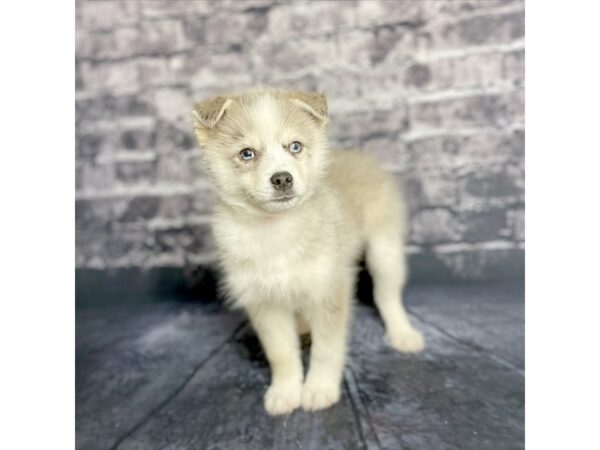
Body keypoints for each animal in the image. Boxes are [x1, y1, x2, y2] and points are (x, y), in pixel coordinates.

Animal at [191, 86, 422, 416]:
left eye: (295, 146)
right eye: (247, 153)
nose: (282, 178)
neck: (275, 230)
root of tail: (360, 154)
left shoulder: (329, 291)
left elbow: (327, 350)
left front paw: (319, 388)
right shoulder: (264, 302)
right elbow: (281, 353)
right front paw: (286, 391)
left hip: (385, 251)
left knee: (387, 296)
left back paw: (402, 333)